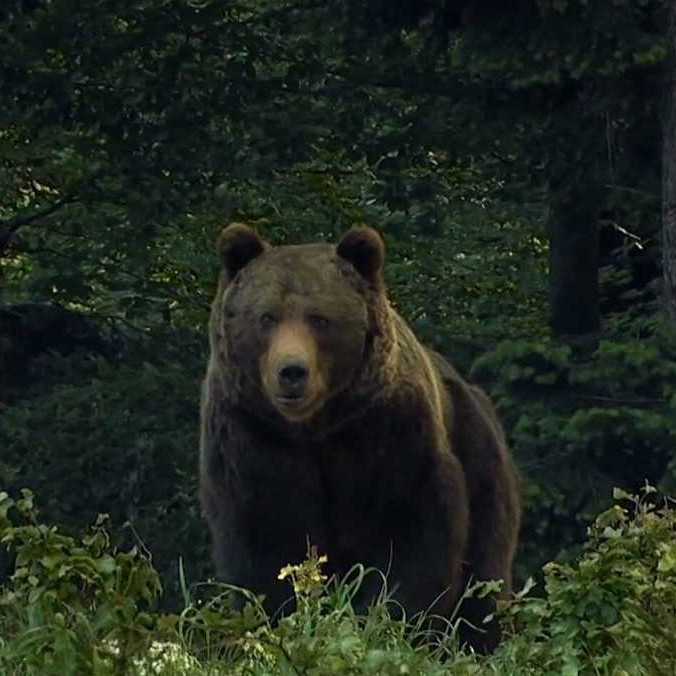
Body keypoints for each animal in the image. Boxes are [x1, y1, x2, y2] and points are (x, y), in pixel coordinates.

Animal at [198, 224, 520, 652]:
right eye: (266, 317)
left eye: (319, 318)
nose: (291, 372)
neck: (315, 428)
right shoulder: (252, 439)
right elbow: (265, 543)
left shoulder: (388, 434)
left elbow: (410, 537)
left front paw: (390, 624)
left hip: (480, 459)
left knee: (485, 580)